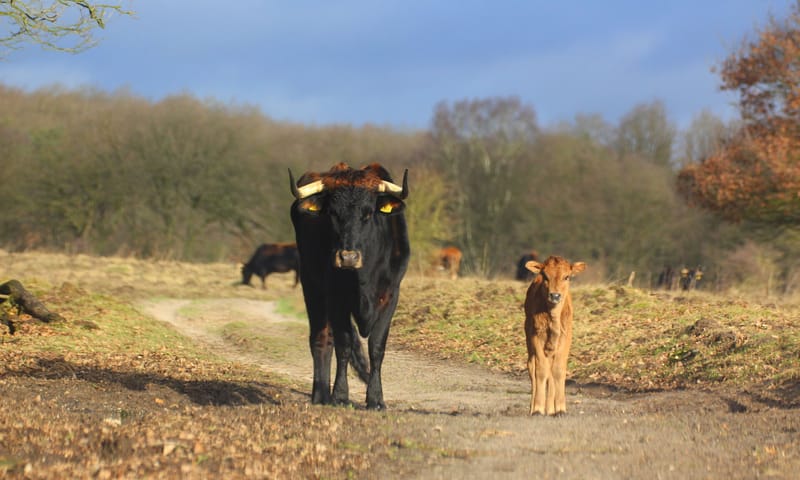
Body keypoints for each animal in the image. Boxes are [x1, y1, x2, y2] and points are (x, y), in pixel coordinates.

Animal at [289, 162, 410, 410]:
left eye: (368, 213)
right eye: (333, 213)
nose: (348, 257)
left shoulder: (391, 296)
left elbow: (377, 347)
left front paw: (376, 399)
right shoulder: (336, 298)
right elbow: (343, 345)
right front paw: (341, 395)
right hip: (312, 286)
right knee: (322, 339)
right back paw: (321, 395)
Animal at [523, 255, 586, 416]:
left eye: (567, 276)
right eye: (545, 276)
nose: (555, 295)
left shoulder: (566, 338)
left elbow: (558, 371)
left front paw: (560, 409)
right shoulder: (536, 337)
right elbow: (541, 371)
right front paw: (538, 409)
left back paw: (550, 409)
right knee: (532, 367)